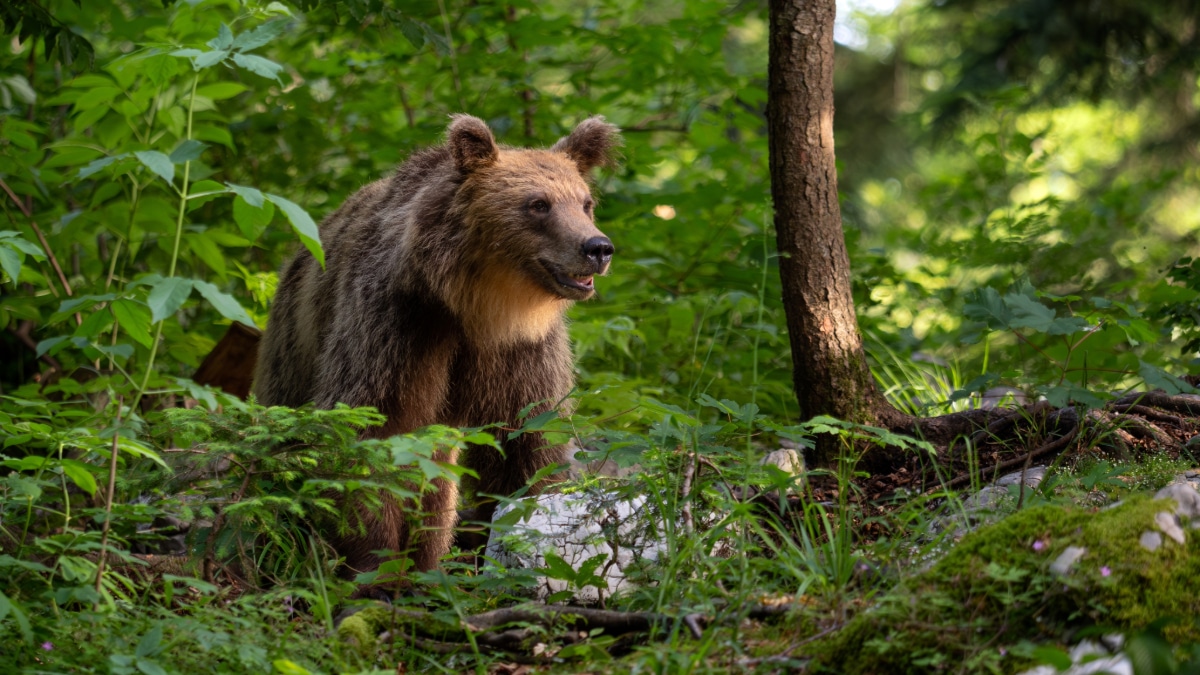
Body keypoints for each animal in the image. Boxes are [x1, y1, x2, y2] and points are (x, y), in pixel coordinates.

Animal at [252, 112, 619, 576]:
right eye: (538, 204)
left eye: (585, 202)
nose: (598, 247)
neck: (479, 308)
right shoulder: (398, 325)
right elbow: (374, 427)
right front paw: (376, 565)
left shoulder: (522, 353)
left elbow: (526, 442)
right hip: (294, 344)